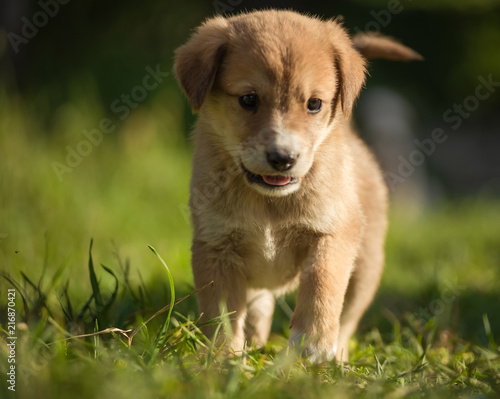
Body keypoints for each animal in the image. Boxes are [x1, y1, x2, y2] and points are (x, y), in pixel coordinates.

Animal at [174, 10, 420, 366]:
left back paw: (336, 357)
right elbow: (221, 311)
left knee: (347, 319)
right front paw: (222, 357)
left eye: (314, 103)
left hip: (367, 268)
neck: (269, 204)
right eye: (249, 99)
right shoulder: (215, 245)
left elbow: (322, 284)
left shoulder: (332, 233)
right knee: (259, 304)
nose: (283, 158)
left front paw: (312, 345)